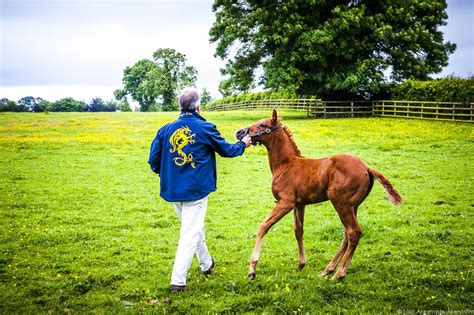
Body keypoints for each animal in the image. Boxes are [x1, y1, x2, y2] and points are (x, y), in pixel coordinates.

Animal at [235, 111, 402, 282]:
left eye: (262, 124)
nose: (239, 132)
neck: (286, 164)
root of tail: (367, 167)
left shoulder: (285, 202)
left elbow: (263, 226)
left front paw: (252, 269)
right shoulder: (299, 204)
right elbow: (298, 231)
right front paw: (301, 265)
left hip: (341, 203)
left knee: (353, 232)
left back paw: (339, 273)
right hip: (353, 206)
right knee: (347, 234)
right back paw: (327, 270)